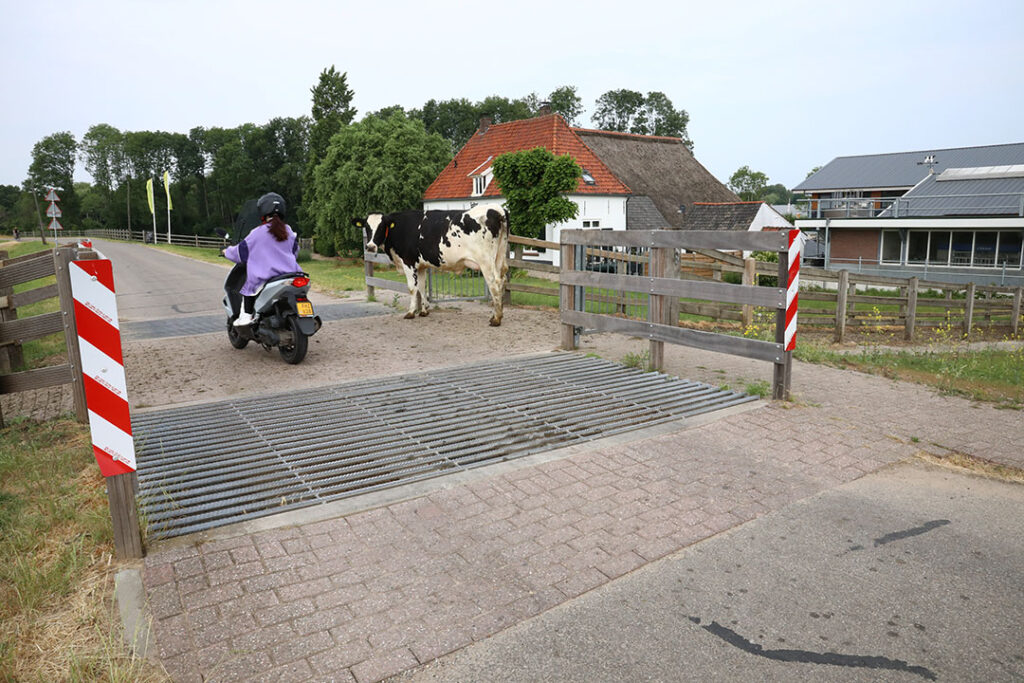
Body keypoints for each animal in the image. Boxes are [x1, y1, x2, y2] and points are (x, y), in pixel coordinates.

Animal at [354, 206, 509, 327]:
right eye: (366, 227)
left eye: (381, 227)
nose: (370, 246)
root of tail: (497, 209)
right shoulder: (421, 266)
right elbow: (422, 287)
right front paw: (424, 311)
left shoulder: (408, 262)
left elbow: (412, 288)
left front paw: (411, 312)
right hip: (499, 257)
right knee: (502, 281)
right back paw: (496, 315)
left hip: (486, 261)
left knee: (494, 283)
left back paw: (496, 319)